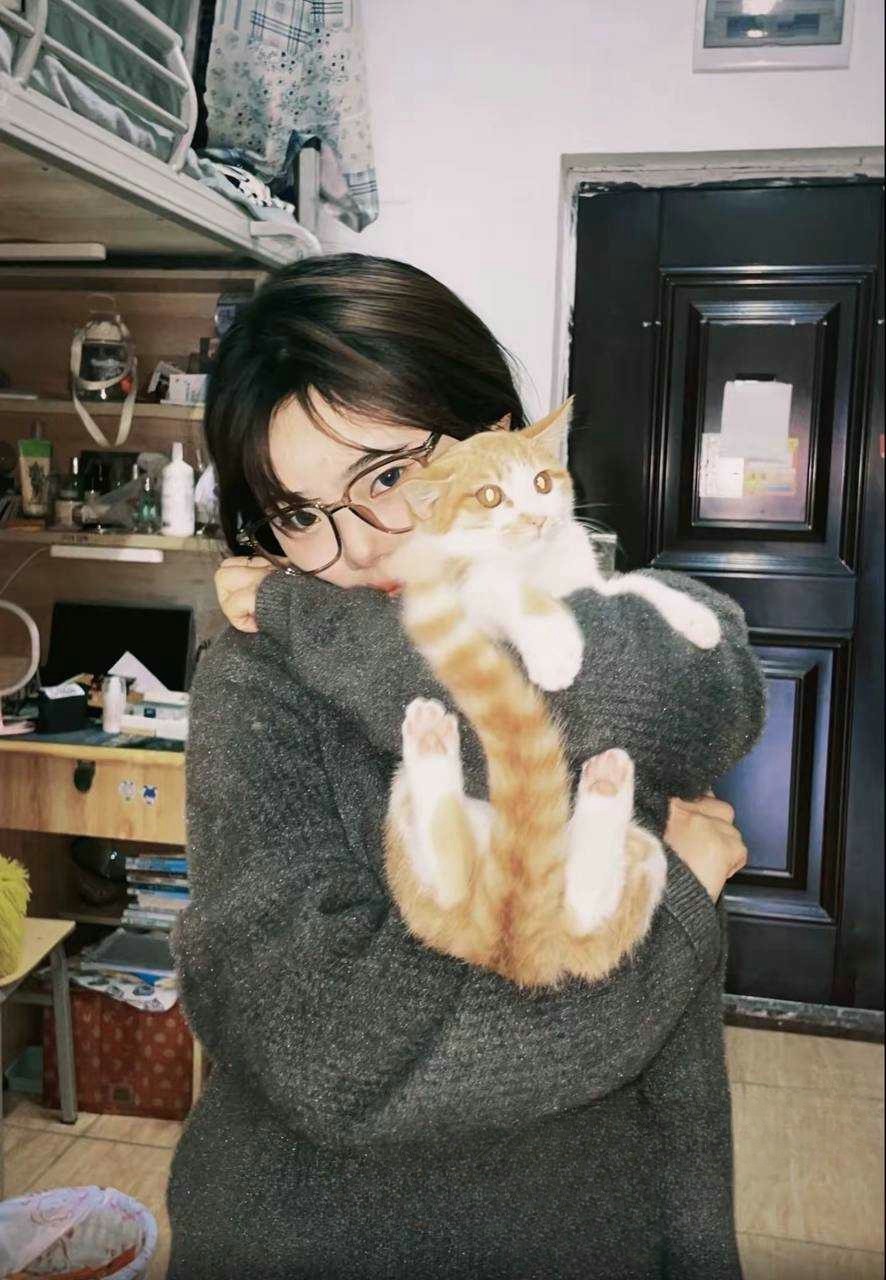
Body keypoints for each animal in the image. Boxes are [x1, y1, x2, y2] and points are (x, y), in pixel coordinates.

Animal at [383, 399, 721, 989]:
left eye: (543, 481)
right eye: (489, 496)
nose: (537, 518)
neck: (538, 565)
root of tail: (503, 942)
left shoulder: (592, 582)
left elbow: (633, 584)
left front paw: (697, 618)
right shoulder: (467, 588)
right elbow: (507, 589)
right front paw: (554, 645)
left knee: (571, 906)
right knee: (472, 887)